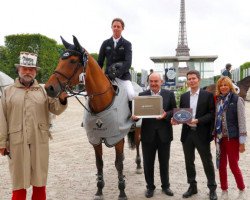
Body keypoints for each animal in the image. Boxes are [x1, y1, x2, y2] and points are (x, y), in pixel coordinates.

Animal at [45, 36, 135, 200]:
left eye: (72, 61)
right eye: (60, 59)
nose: (49, 88)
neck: (102, 102)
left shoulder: (117, 138)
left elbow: (118, 164)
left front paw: (122, 192)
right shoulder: (95, 139)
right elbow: (99, 164)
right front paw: (99, 190)